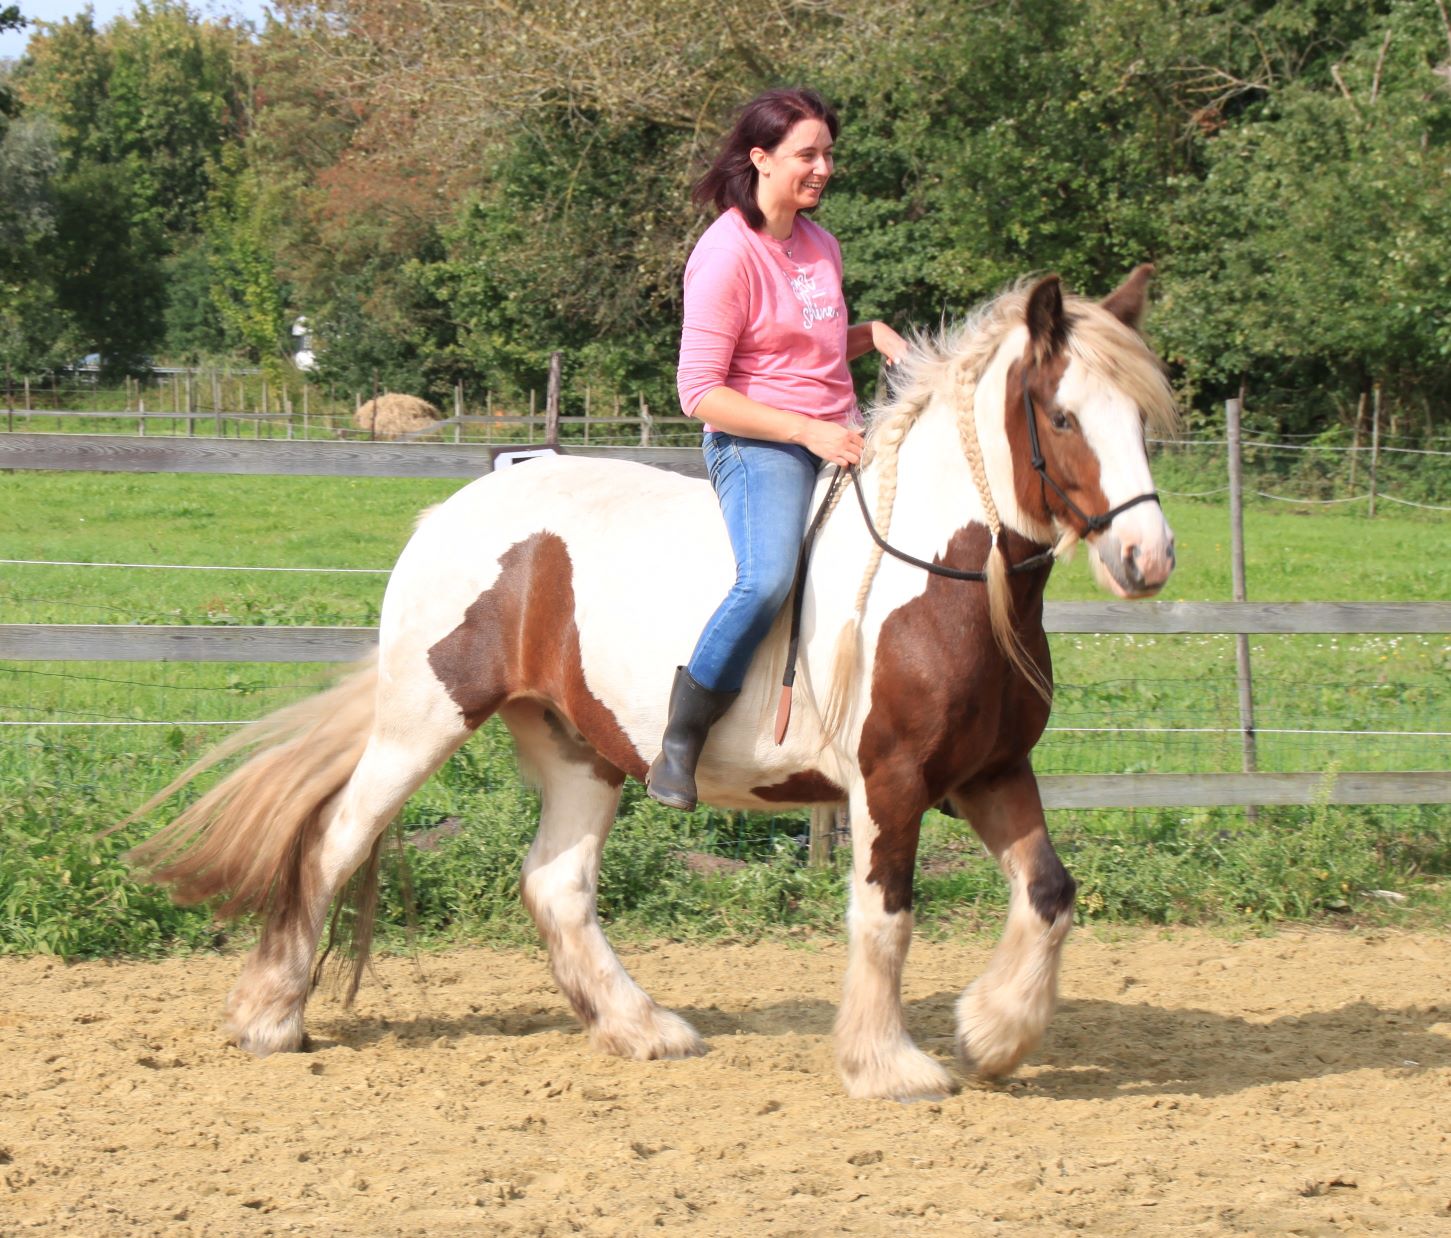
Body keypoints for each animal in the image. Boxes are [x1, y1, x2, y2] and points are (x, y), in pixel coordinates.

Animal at [124, 269, 1178, 1102]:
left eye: (1143, 422)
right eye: (1063, 416)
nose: (1147, 558)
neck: (943, 577)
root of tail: (453, 511)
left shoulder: (990, 771)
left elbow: (1049, 893)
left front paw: (993, 1034)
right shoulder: (891, 782)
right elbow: (885, 917)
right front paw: (889, 1066)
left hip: (579, 747)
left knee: (554, 884)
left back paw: (641, 1028)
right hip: (424, 721)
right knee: (336, 842)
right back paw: (269, 1017)